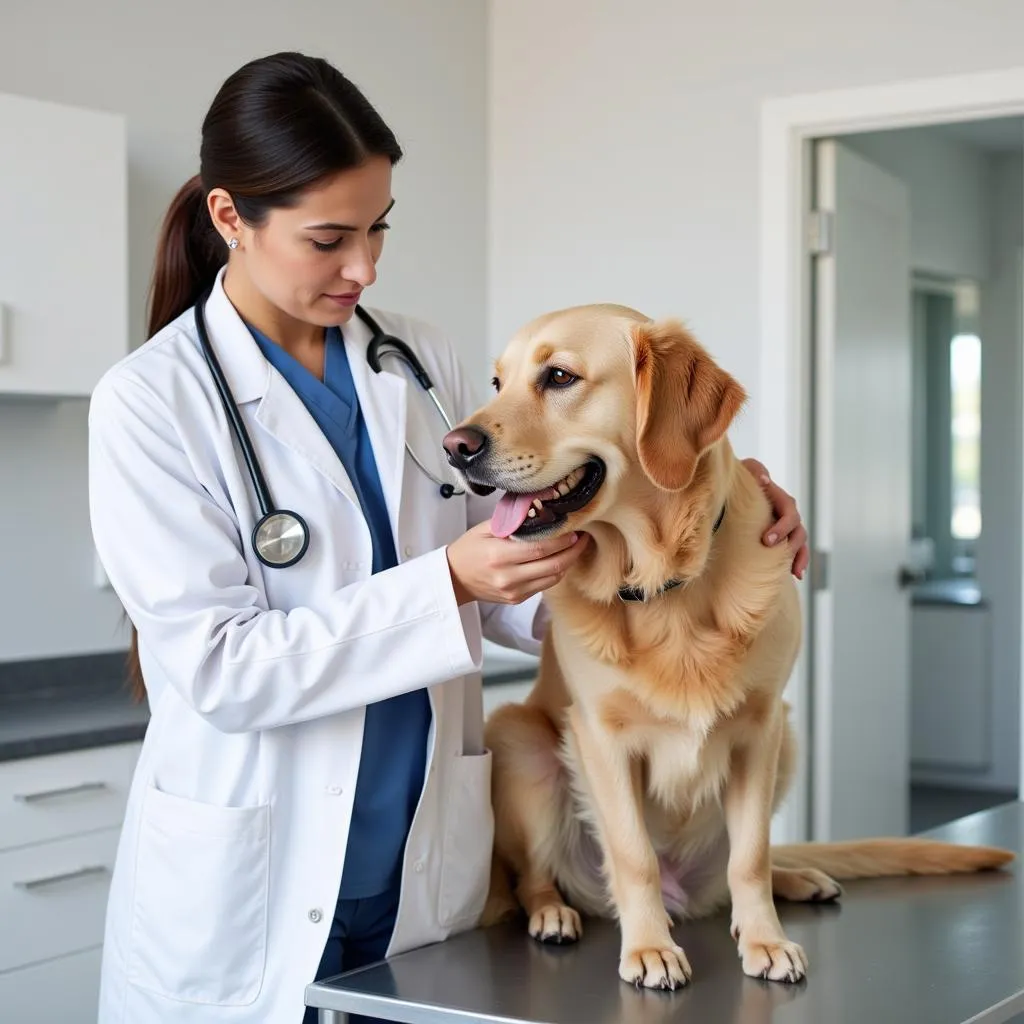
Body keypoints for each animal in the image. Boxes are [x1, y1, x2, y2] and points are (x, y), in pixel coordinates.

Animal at [442, 305, 1015, 991]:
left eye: (558, 377)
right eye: (497, 383)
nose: (456, 447)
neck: (663, 586)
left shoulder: (759, 728)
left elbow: (753, 854)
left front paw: (765, 939)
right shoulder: (601, 739)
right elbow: (633, 856)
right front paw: (648, 948)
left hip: (789, 739)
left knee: (745, 867)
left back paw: (797, 879)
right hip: (518, 739)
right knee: (535, 876)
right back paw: (554, 912)